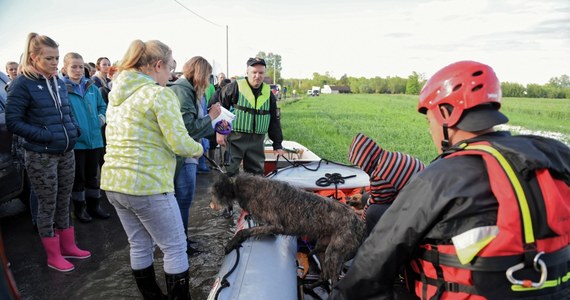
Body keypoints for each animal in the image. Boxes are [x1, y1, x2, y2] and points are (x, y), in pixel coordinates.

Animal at [209, 172, 364, 284]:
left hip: (334, 254)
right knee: (325, 276)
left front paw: (231, 243)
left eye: (214, 194)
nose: (211, 205)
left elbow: (244, 231)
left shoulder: (276, 225)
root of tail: (361, 226)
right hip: (323, 248)